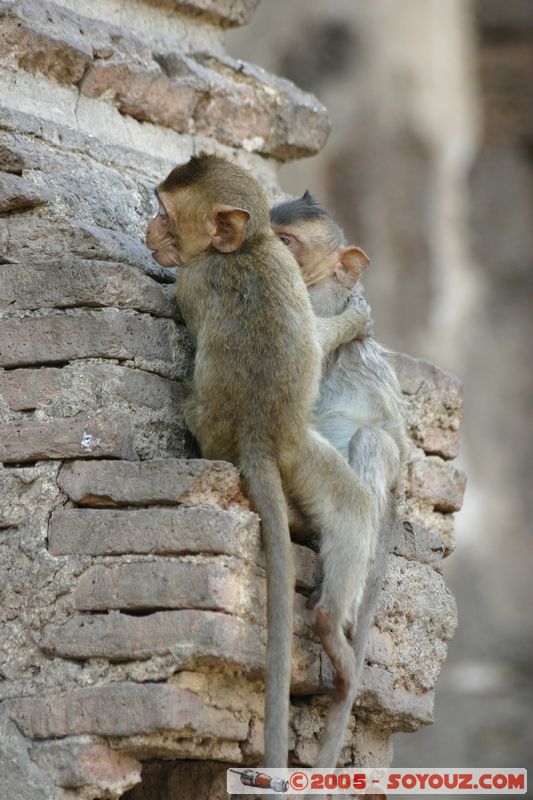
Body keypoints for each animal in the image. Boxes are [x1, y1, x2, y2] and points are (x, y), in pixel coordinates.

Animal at [146, 154, 376, 769]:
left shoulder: (192, 280)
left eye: (165, 214)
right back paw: (332, 630)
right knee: (354, 507)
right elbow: (315, 340)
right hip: (300, 450)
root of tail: (257, 436)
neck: (244, 248)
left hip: (216, 429)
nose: (149, 231)